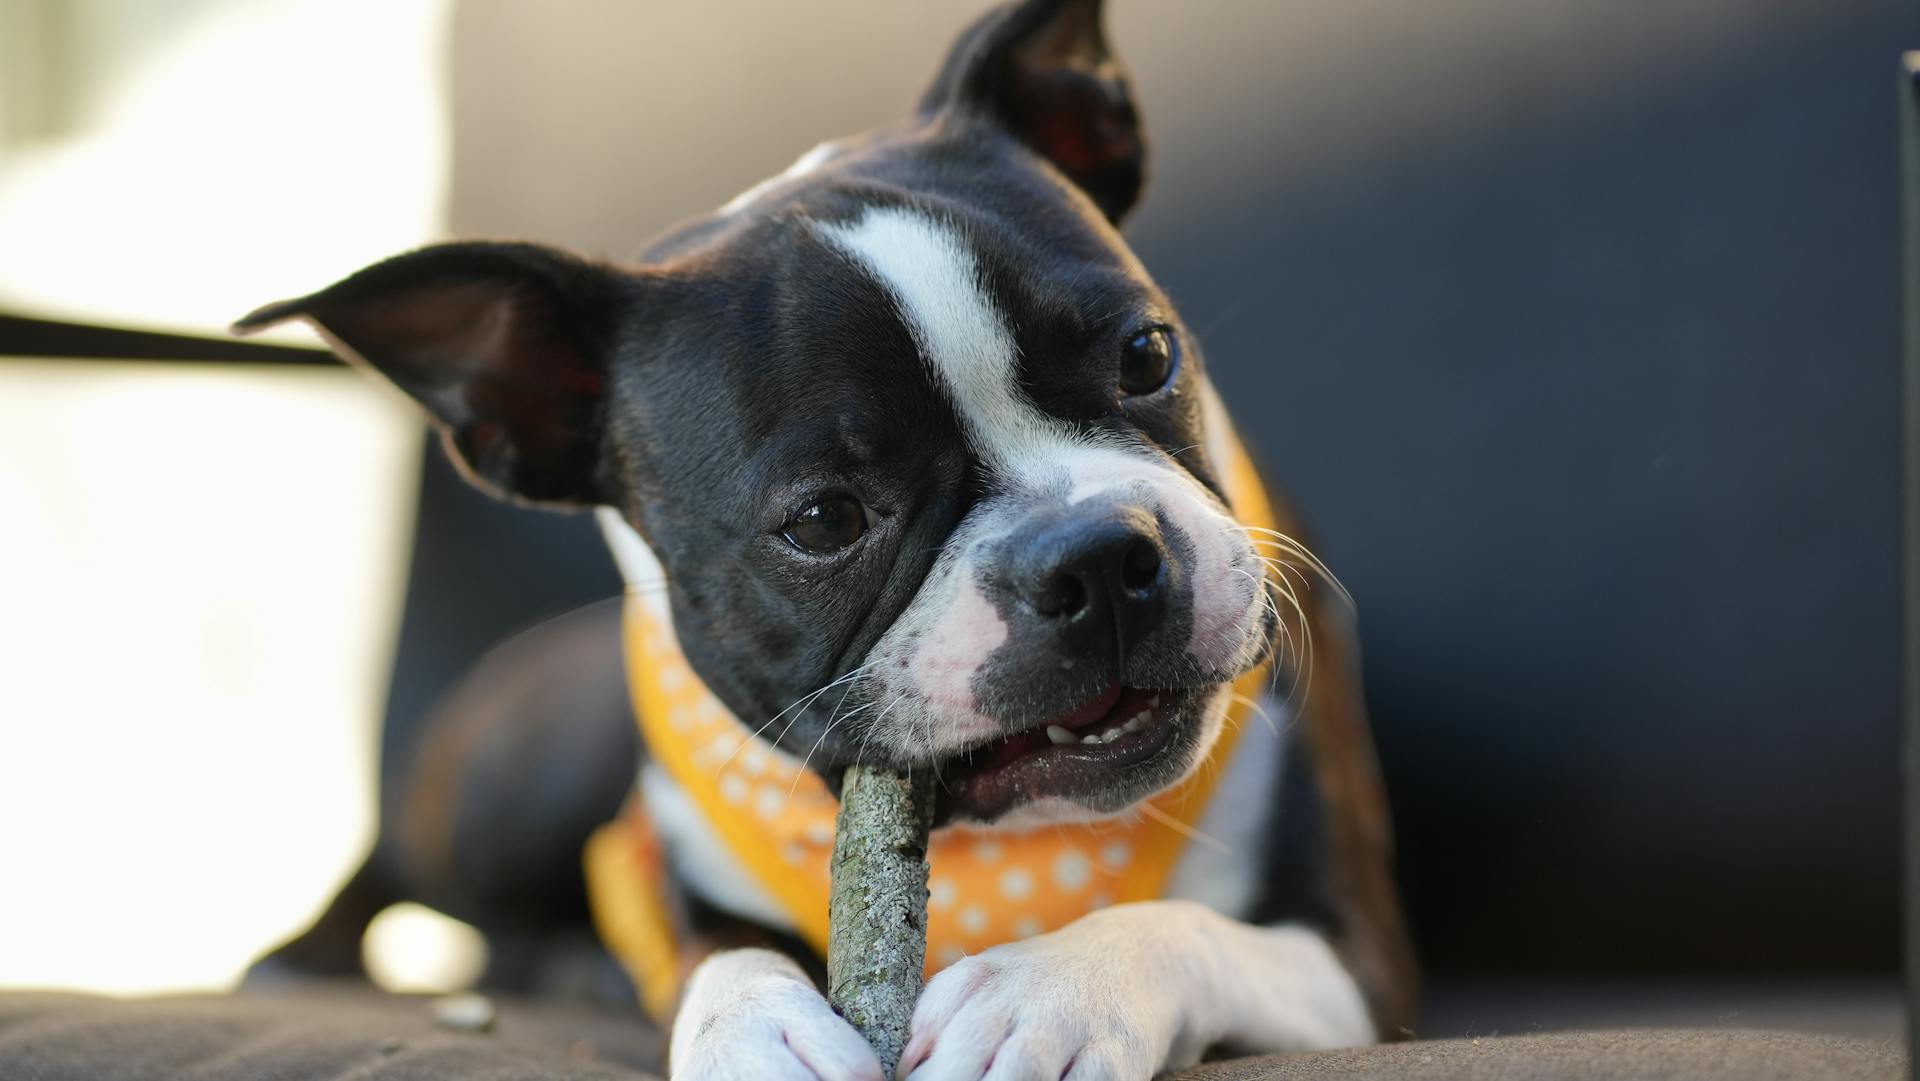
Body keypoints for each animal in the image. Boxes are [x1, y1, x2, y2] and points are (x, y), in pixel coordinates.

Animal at [236, 0, 1413, 1075]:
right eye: (825, 520)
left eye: (1146, 356)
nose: (1093, 555)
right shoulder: (677, 886)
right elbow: (719, 956)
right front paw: (754, 1033)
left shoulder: (1360, 964)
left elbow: (1190, 927)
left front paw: (1050, 991)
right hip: (515, 790)